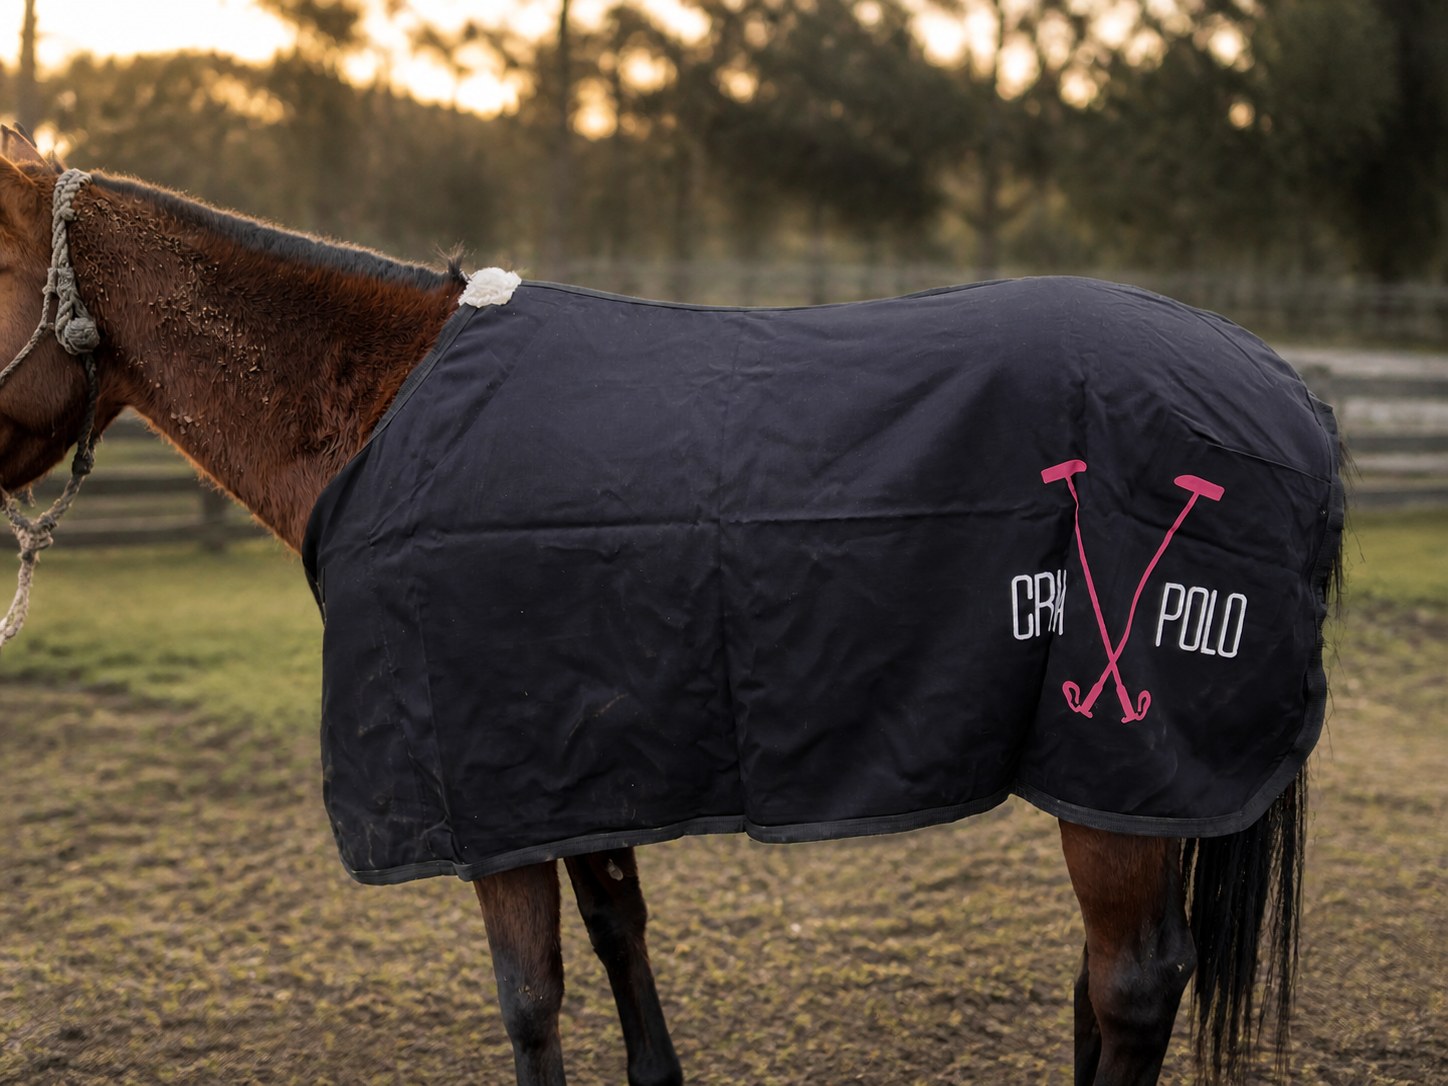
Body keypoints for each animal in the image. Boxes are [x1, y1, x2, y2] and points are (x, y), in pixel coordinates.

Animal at [0, 129, 1342, 1086]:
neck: (383, 413)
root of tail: (1286, 393)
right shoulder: (578, 762)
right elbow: (617, 932)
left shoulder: (483, 791)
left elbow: (529, 1000)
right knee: (1104, 984)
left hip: (1118, 764)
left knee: (1132, 983)